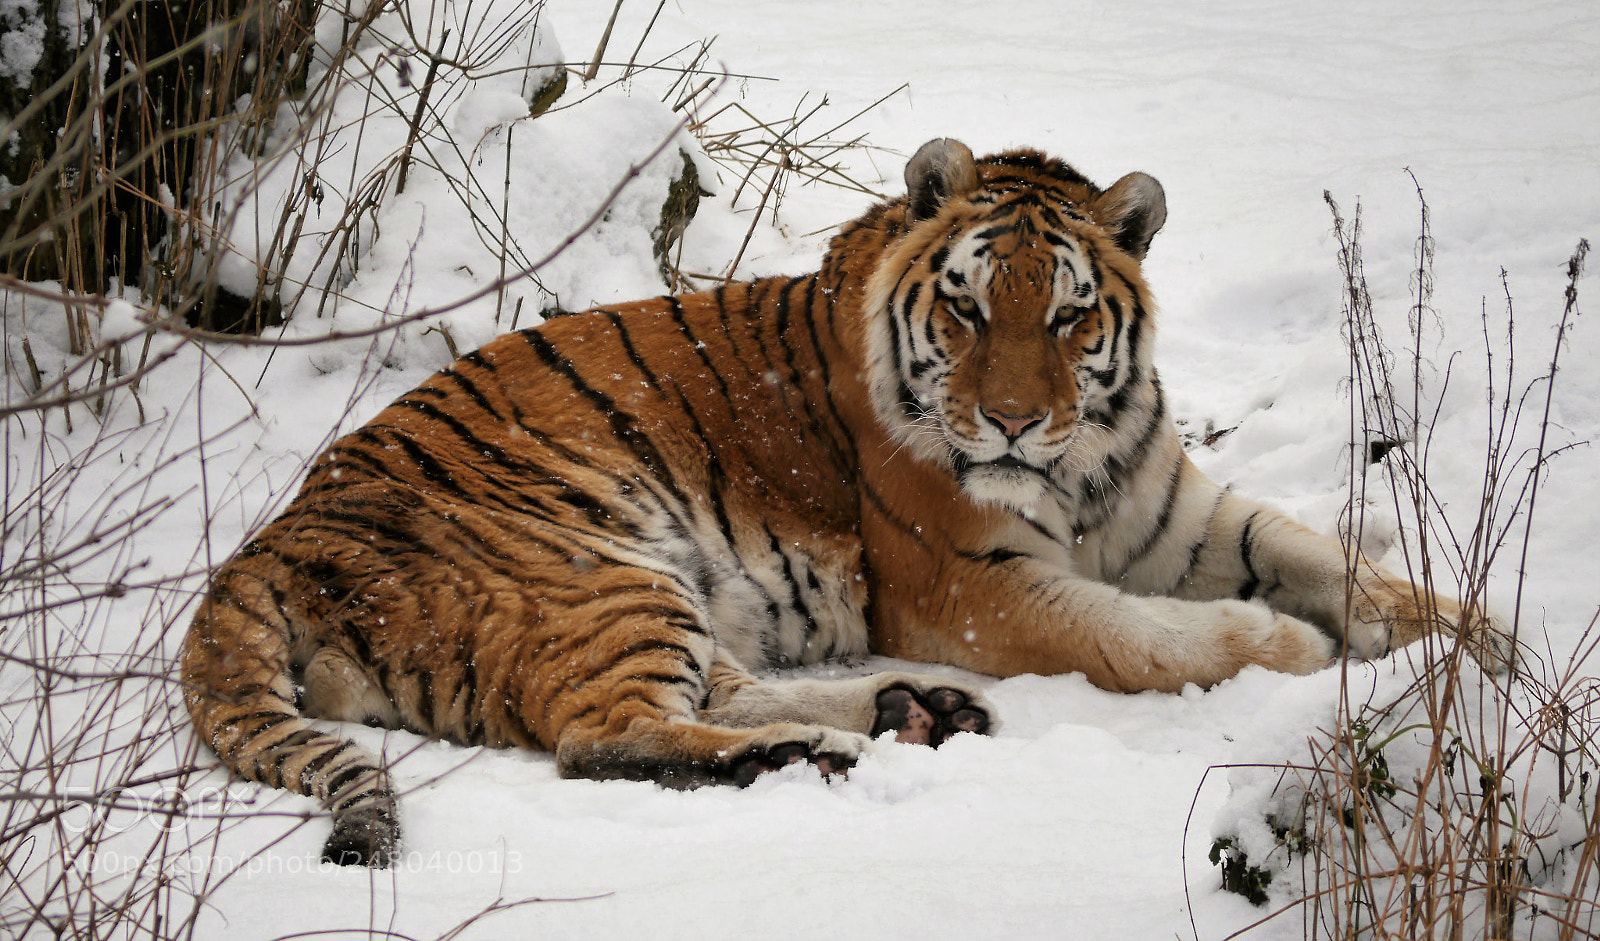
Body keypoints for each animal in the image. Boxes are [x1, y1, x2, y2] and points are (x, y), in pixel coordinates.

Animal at [181, 138, 1512, 868]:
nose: (1013, 422)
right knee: (602, 737)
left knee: (703, 689)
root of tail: (261, 546)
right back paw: (817, 748)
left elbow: (1318, 549)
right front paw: (1287, 647)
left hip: (644, 585)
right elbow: (1139, 637)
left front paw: (1481, 641)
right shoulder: (965, 586)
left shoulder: (1175, 515)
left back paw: (909, 711)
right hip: (589, 566)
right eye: (968, 308)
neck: (1080, 466)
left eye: (1068, 315)